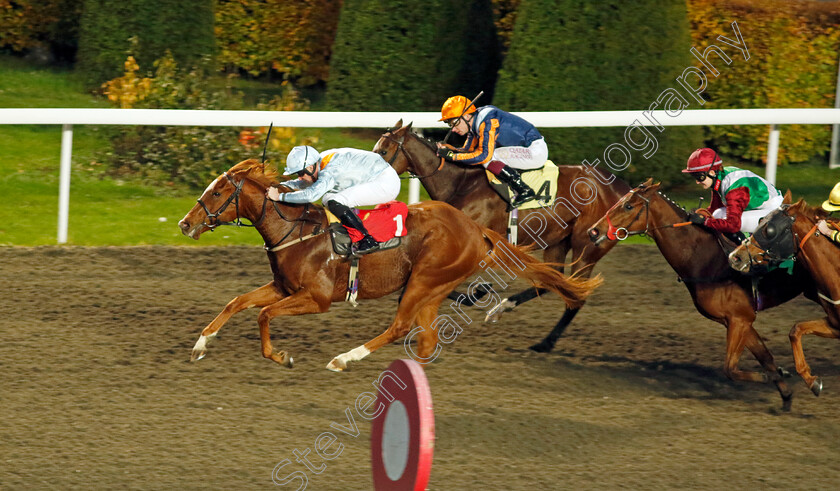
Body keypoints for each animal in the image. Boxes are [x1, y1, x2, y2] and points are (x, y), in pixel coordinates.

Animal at [177, 160, 600, 370]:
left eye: (217, 192)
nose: (184, 223)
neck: (294, 231)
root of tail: (475, 228)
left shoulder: (317, 298)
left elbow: (263, 315)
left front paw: (281, 356)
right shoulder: (283, 287)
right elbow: (237, 302)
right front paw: (200, 345)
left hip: (424, 281)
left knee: (400, 327)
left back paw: (345, 359)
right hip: (432, 288)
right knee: (425, 338)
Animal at [374, 123, 632, 354]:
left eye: (383, 151)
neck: (461, 184)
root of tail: (624, 190)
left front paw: (477, 293)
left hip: (587, 247)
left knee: (576, 295)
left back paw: (545, 343)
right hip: (558, 242)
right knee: (553, 282)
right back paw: (505, 310)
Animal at [588, 179, 816, 410]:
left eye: (628, 206)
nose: (593, 231)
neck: (708, 260)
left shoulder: (740, 319)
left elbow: (730, 368)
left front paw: (779, 377)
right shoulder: (738, 320)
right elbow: (765, 358)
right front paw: (785, 391)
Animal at [728, 200, 840, 396]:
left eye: (769, 231)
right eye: (760, 220)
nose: (735, 257)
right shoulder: (835, 325)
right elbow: (796, 330)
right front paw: (811, 380)